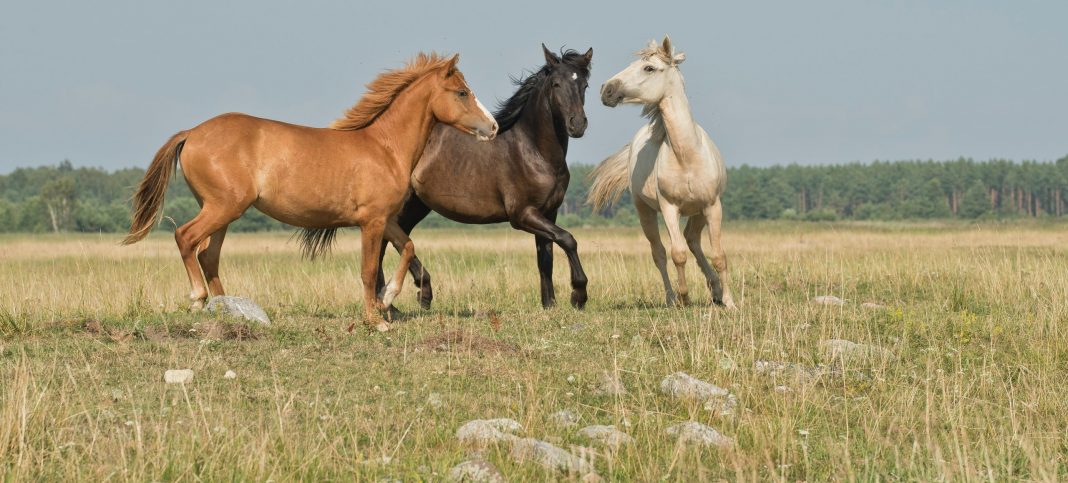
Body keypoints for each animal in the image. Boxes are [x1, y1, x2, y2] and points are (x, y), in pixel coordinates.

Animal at [122, 54, 497, 329]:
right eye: (462, 92)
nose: (492, 127)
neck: (385, 148)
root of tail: (192, 132)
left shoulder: (385, 219)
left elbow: (407, 247)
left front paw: (388, 299)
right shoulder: (371, 222)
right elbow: (368, 270)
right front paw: (376, 320)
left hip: (222, 212)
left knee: (208, 255)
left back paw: (229, 308)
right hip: (222, 207)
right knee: (186, 238)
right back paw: (199, 299)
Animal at [375, 45, 593, 309]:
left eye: (584, 85)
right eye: (556, 84)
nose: (577, 124)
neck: (534, 151)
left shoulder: (548, 212)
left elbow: (546, 257)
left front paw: (549, 304)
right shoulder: (523, 214)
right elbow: (567, 239)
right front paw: (578, 294)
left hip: (416, 205)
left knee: (395, 238)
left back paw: (404, 298)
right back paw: (401, 297)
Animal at [593, 36, 734, 309]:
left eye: (649, 68)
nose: (606, 90)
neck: (687, 156)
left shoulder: (713, 206)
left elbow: (719, 255)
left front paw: (730, 302)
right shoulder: (669, 208)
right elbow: (677, 254)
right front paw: (684, 298)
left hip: (698, 212)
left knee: (692, 240)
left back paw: (715, 290)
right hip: (645, 211)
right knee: (659, 252)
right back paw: (671, 298)